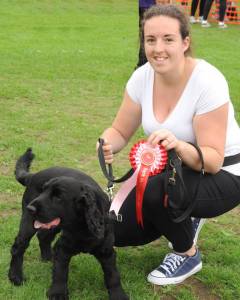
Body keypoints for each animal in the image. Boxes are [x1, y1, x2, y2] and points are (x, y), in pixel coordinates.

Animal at [8, 148, 128, 300]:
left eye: (58, 197)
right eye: (43, 190)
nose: (31, 208)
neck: (83, 227)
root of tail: (33, 176)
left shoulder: (106, 251)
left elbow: (113, 276)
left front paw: (118, 295)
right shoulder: (63, 248)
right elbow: (60, 274)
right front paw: (57, 293)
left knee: (43, 236)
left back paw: (48, 258)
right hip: (29, 223)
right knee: (19, 246)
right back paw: (15, 277)